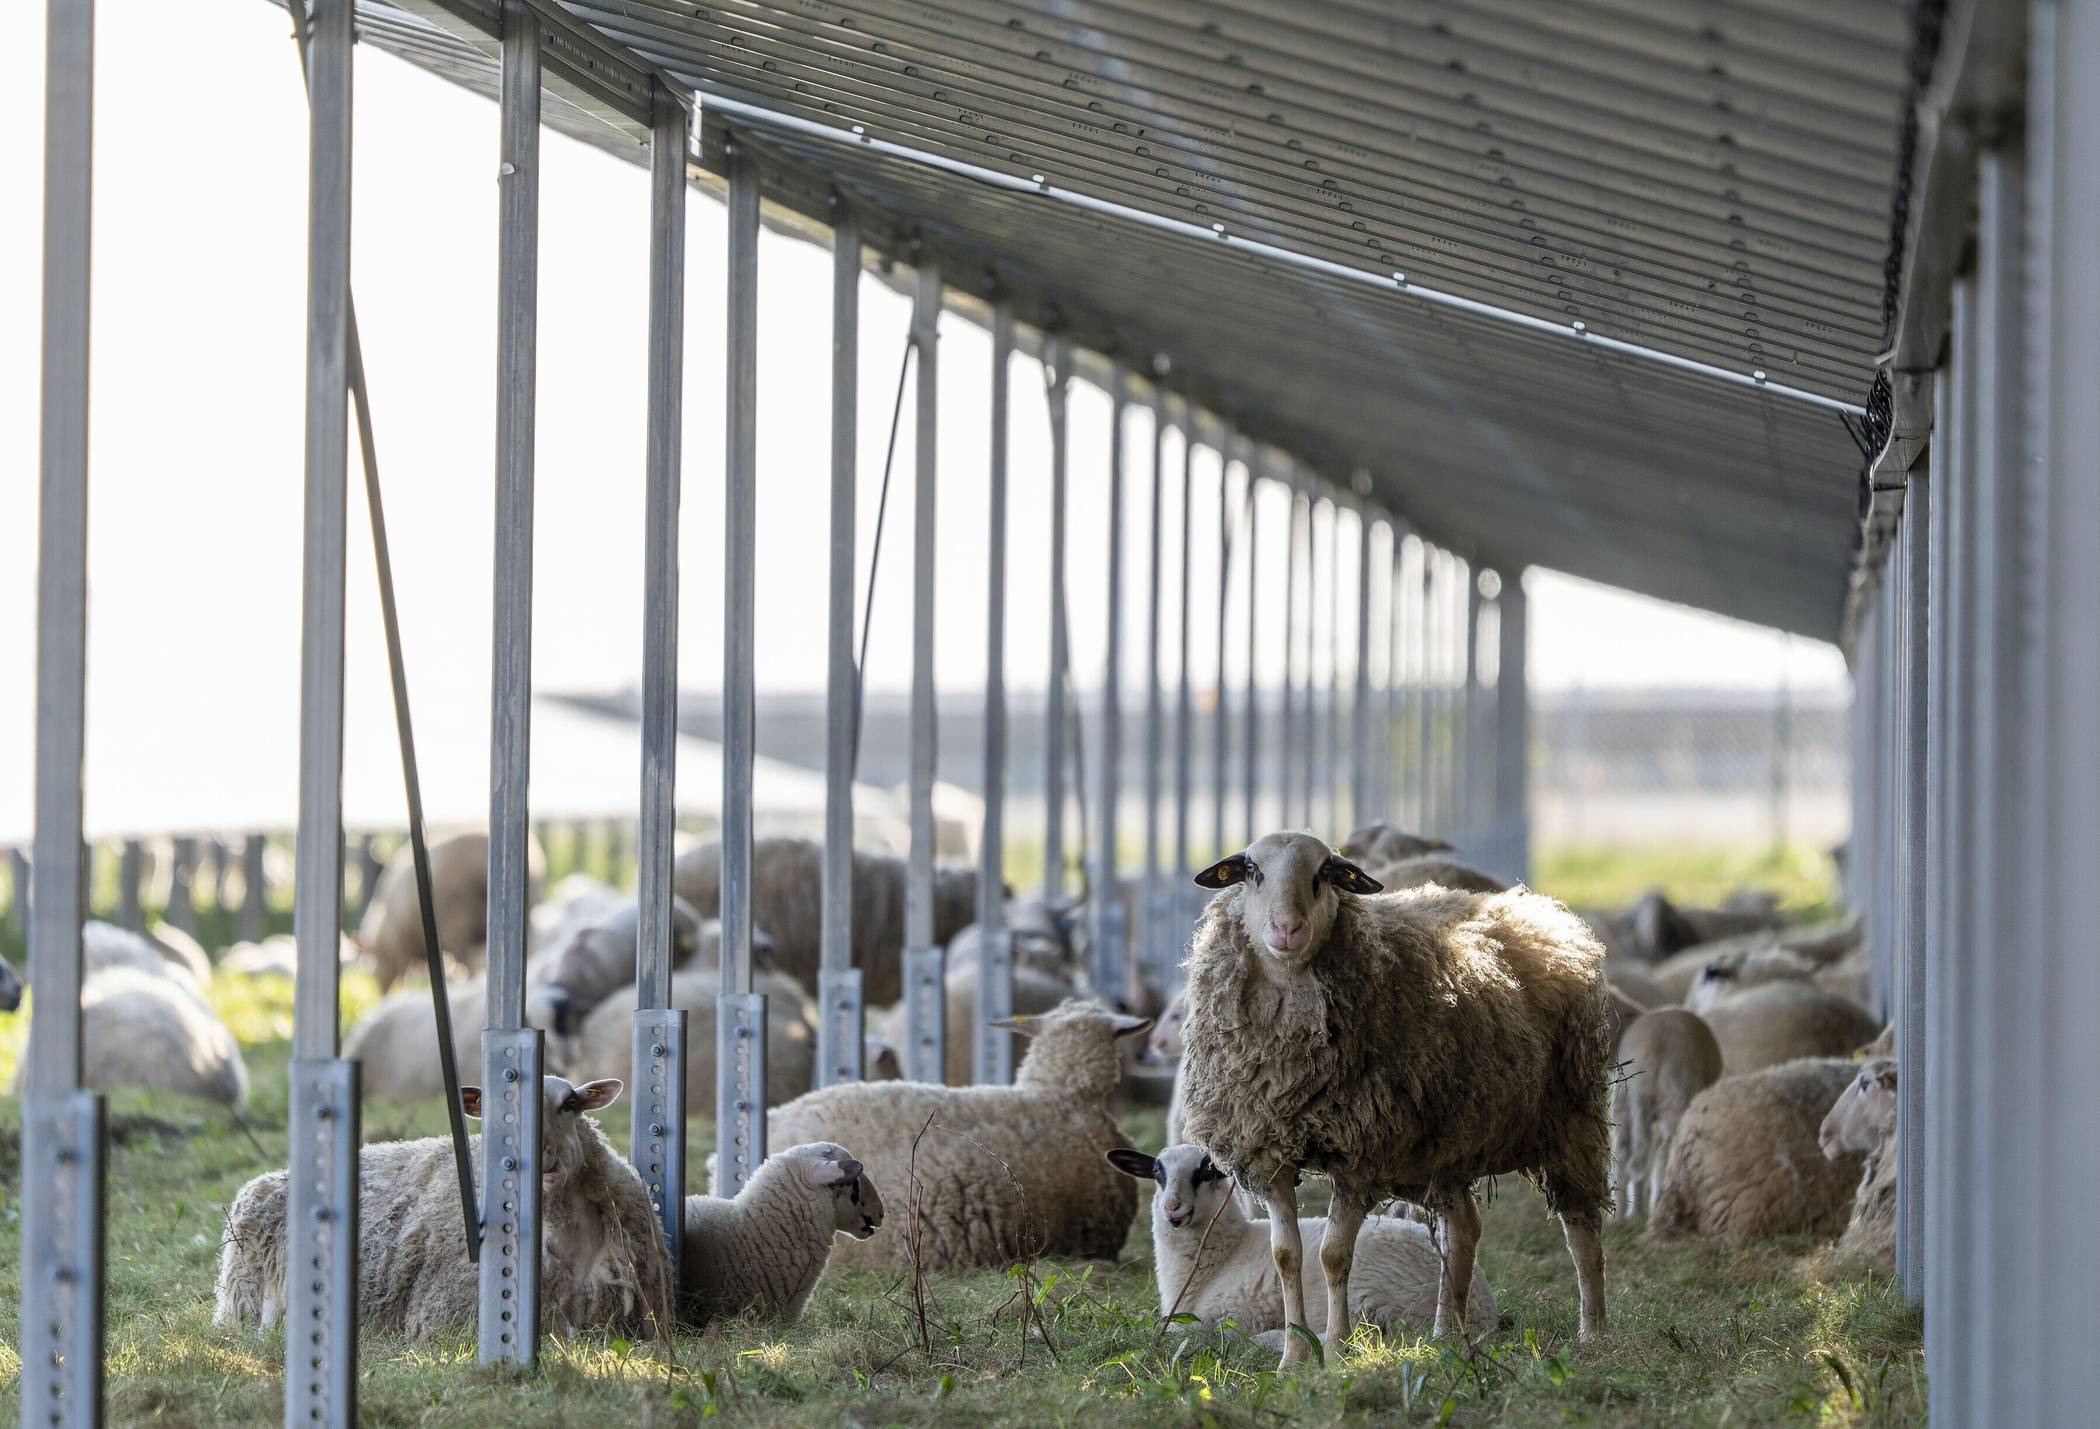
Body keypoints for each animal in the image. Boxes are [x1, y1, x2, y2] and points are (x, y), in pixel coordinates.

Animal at [1108, 1143, 1494, 1339]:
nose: (1173, 1209)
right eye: (1157, 1173)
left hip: (1370, 1297)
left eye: (1206, 1172)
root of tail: (1480, 1311)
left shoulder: (1230, 1313)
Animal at [1179, 831, 1614, 1361]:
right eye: (1252, 871)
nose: (1287, 929)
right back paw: (1448, 1336)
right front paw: (1294, 1356)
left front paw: (1336, 1348)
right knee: (1463, 1230)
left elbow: (1333, 1255)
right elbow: (1285, 1256)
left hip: (1572, 1116)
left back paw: (1594, 1333)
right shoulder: (1269, 1154)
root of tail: (1538, 908)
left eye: (1324, 874)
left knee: (1582, 1228)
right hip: (1447, 1143)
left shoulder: (1359, 1157)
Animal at [1610, 1008, 1723, 1218]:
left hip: (1623, 1101)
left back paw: (1622, 1216)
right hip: (1677, 1097)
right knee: (1666, 1153)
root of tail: (1656, 1042)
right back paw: (1658, 1203)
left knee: (1624, 1154)